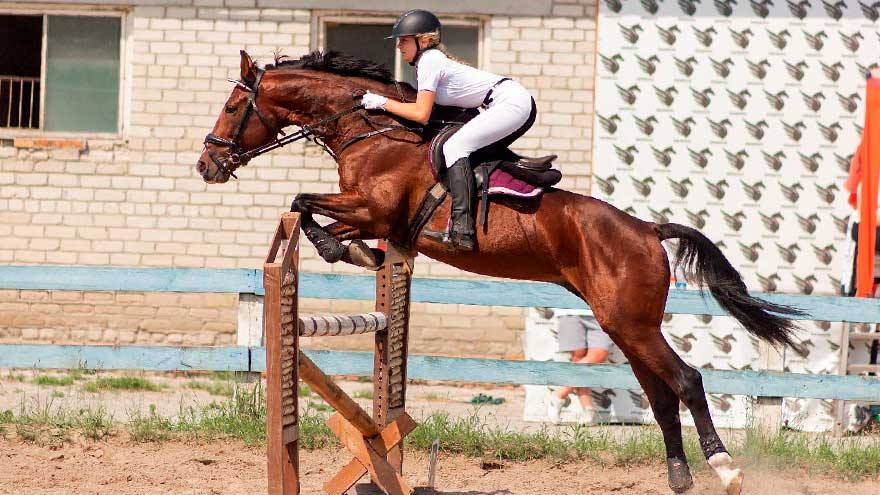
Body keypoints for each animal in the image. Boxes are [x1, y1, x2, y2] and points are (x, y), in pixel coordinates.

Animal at [199, 51, 804, 495]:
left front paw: (339, 249)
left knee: (687, 381)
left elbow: (303, 203)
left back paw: (726, 469)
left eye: (232, 106)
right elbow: (316, 213)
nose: (206, 165)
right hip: (625, 326)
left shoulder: (375, 210)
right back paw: (679, 476)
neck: (369, 131)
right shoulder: (372, 216)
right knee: (661, 396)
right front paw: (358, 254)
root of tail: (648, 230)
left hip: (632, 324)